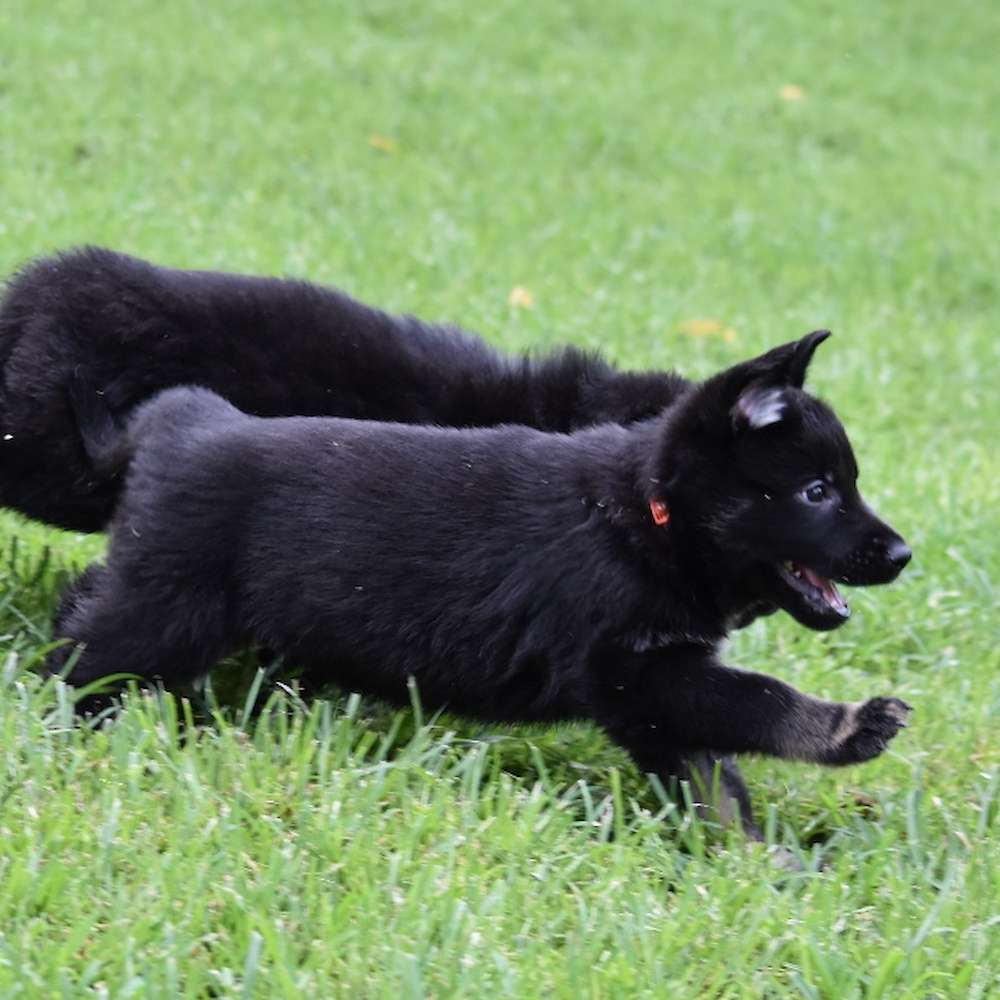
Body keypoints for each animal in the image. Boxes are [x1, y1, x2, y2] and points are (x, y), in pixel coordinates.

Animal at [49, 331, 912, 840]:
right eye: (817, 492)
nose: (904, 553)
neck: (648, 516)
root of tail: (183, 423)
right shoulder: (636, 669)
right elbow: (757, 699)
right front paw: (848, 727)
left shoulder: (655, 695)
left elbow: (716, 777)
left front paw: (758, 863)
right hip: (164, 611)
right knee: (81, 661)